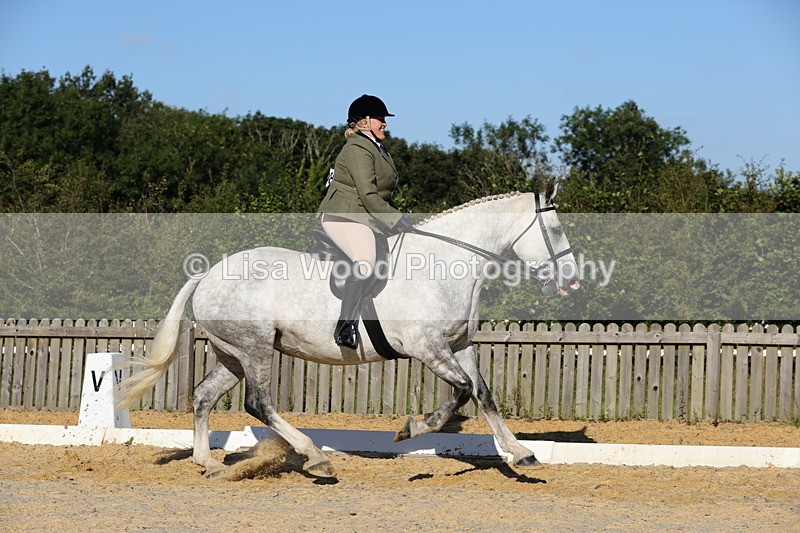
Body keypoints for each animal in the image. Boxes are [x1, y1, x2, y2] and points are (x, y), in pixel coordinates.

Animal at [120, 181, 579, 478]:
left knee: (203, 397)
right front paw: (412, 428)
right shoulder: (427, 347)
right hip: (255, 348)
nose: (572, 281)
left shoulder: (460, 344)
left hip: (232, 354)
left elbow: (484, 395)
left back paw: (209, 463)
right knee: (259, 403)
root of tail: (208, 274)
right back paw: (316, 458)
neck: (447, 265)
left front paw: (520, 453)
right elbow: (463, 391)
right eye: (556, 229)